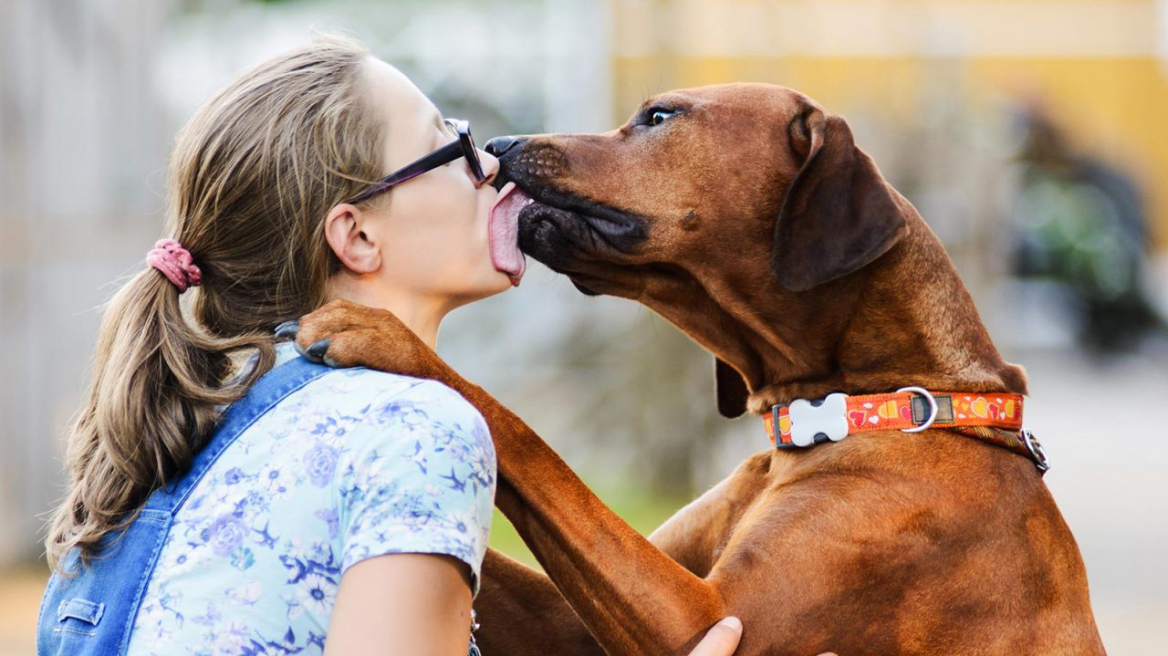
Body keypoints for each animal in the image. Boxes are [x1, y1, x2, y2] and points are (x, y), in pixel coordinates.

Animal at [292, 84, 1102, 648]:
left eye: (658, 117)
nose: (500, 143)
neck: (864, 409)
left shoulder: (709, 616)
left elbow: (526, 436)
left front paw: (385, 332)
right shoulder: (574, 623)